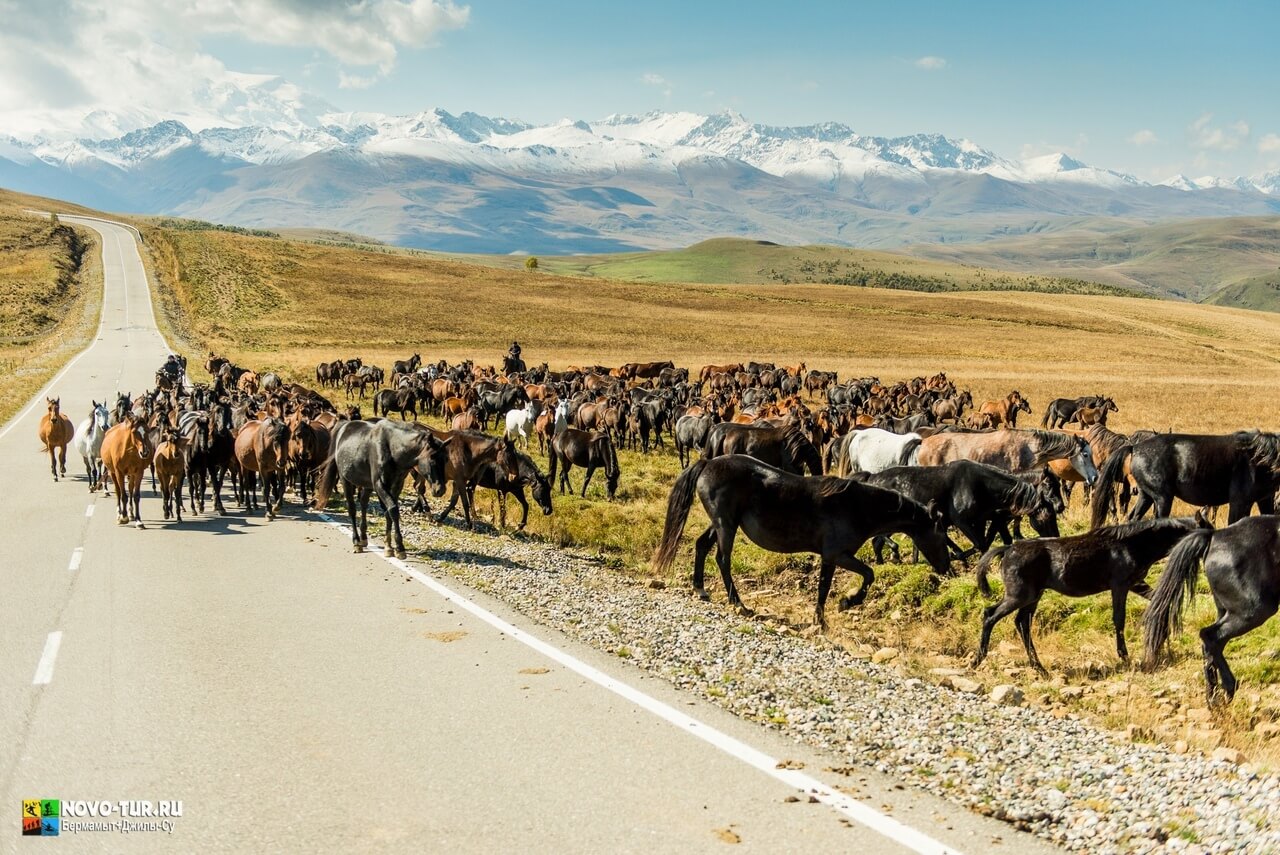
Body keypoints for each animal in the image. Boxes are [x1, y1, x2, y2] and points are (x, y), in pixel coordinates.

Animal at [311, 417, 448, 558]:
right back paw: (356, 542)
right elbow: (393, 510)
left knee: (363, 503)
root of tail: (344, 426)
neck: (393, 448)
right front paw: (399, 547)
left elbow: (388, 512)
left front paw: (389, 546)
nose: (440, 489)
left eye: (446, 459)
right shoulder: (380, 485)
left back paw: (363, 538)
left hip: (367, 485)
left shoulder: (396, 485)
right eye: (432, 459)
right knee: (352, 509)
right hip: (346, 481)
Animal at [655, 453, 947, 627]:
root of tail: (708, 463)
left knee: (702, 546)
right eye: (941, 535)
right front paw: (842, 606)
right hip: (726, 525)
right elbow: (858, 577)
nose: (947, 569)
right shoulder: (836, 555)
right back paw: (739, 603)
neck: (857, 506)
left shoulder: (834, 557)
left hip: (721, 523)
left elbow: (831, 586)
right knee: (722, 559)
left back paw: (701, 589)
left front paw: (828, 614)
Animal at [967, 514, 1208, 675]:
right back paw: (978, 659)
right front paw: (1124, 656)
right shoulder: (1120, 585)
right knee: (990, 615)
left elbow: (1158, 600)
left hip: (1033, 596)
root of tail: (1007, 549)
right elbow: (1118, 619)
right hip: (1019, 596)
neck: (1133, 544)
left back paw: (1039, 668)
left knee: (1021, 622)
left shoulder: (1136, 584)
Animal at [1090, 430, 1280, 529]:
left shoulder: (1264, 500)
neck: (1259, 457)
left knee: (1132, 518)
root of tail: (1134, 447)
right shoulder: (1239, 502)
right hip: (1162, 498)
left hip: (1146, 496)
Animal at [1146, 517, 1280, 706]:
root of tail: (1215, 536)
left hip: (1228, 612)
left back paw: (1214, 696)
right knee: (1210, 637)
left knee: (1212, 645)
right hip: (1253, 610)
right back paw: (1225, 690)